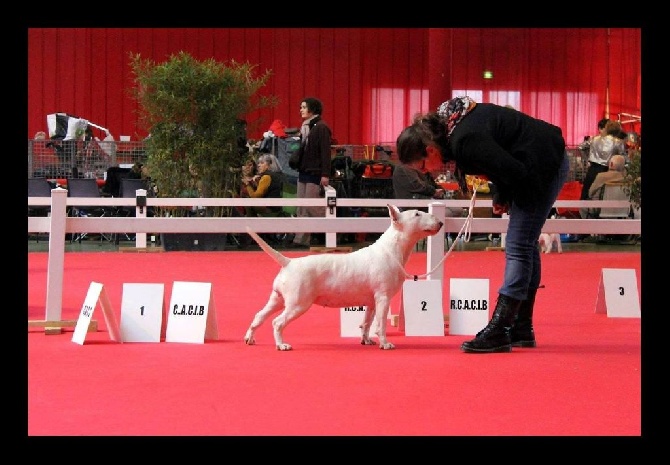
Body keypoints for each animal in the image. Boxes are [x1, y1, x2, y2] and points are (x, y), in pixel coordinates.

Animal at [244, 205, 444, 350]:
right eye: (417, 214)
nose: (441, 223)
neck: (391, 250)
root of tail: (289, 262)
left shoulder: (372, 301)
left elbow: (367, 322)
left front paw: (366, 341)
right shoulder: (383, 297)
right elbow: (380, 324)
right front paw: (385, 344)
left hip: (278, 299)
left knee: (259, 316)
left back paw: (249, 338)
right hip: (298, 304)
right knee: (277, 322)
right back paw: (281, 345)